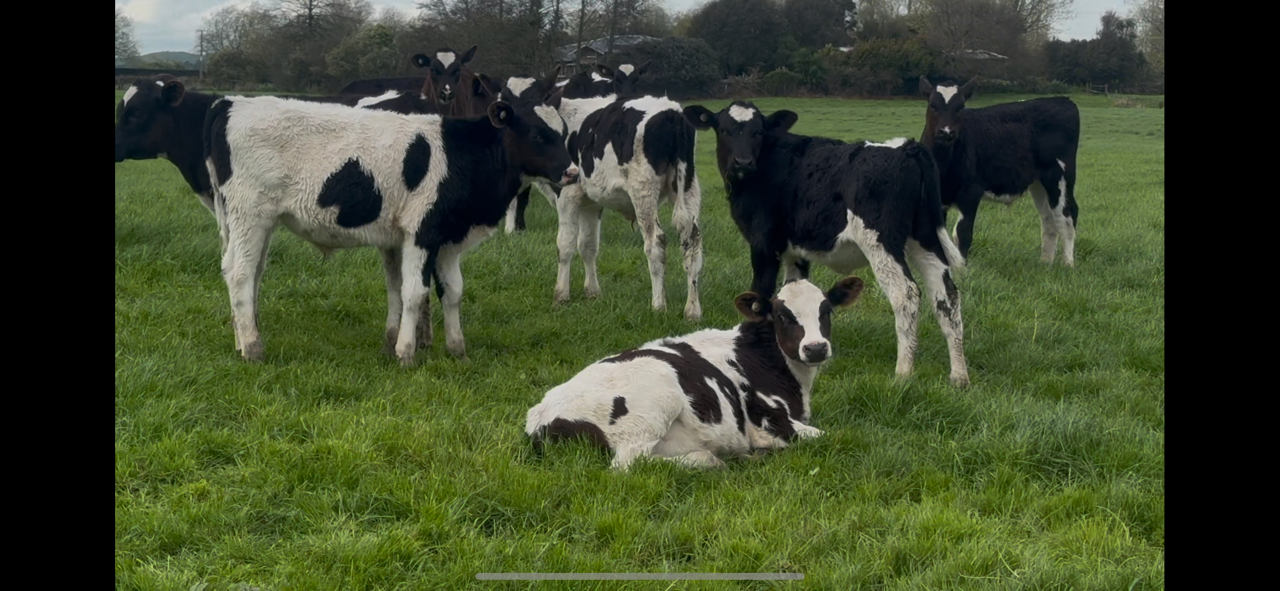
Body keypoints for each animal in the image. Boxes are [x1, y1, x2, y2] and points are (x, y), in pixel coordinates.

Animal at [202, 96, 578, 366]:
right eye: (536, 134)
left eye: (563, 135)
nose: (573, 172)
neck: (459, 155)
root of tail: (230, 104)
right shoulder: (421, 232)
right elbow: (414, 292)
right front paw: (405, 353)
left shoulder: (446, 238)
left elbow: (447, 291)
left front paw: (455, 349)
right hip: (250, 215)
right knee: (239, 273)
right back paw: (253, 348)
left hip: (255, 223)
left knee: (249, 274)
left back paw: (241, 341)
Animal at [526, 276, 865, 470]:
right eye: (782, 315)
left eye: (826, 311)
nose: (816, 348)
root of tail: (541, 416)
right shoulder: (769, 423)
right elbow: (832, 437)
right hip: (653, 404)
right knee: (629, 464)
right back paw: (712, 460)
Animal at [552, 91, 704, 322]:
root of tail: (671, 113)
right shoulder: (591, 202)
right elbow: (588, 245)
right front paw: (592, 292)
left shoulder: (567, 194)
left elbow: (565, 245)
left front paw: (561, 294)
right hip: (688, 188)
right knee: (692, 243)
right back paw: (692, 310)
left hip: (643, 191)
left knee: (655, 242)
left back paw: (658, 305)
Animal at [683, 101, 970, 387]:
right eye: (724, 129)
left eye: (758, 131)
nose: (742, 162)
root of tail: (908, 148)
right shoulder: (795, 251)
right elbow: (789, 291)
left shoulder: (763, 244)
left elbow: (759, 295)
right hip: (925, 240)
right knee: (947, 296)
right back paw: (958, 375)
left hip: (881, 241)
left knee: (906, 294)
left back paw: (903, 373)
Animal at [918, 76, 1081, 266]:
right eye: (932, 105)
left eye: (960, 106)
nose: (946, 132)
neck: (943, 164)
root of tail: (1062, 100)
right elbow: (940, 237)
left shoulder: (971, 192)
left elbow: (962, 233)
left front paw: (961, 269)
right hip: (1039, 184)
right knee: (1049, 219)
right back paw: (1045, 263)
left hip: (1060, 176)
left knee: (1067, 215)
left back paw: (1067, 264)